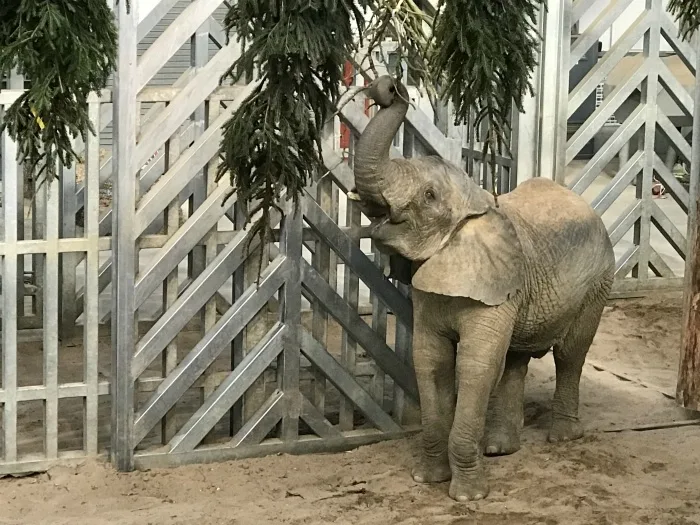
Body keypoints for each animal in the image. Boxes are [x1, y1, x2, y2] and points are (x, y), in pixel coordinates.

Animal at [348, 76, 616, 502]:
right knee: (517, 359)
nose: (389, 87)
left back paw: (562, 437)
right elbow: (431, 360)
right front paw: (428, 480)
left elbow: (476, 364)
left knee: (570, 354)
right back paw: (500, 448)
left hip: (599, 279)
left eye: (428, 196)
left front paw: (468, 497)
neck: (474, 201)